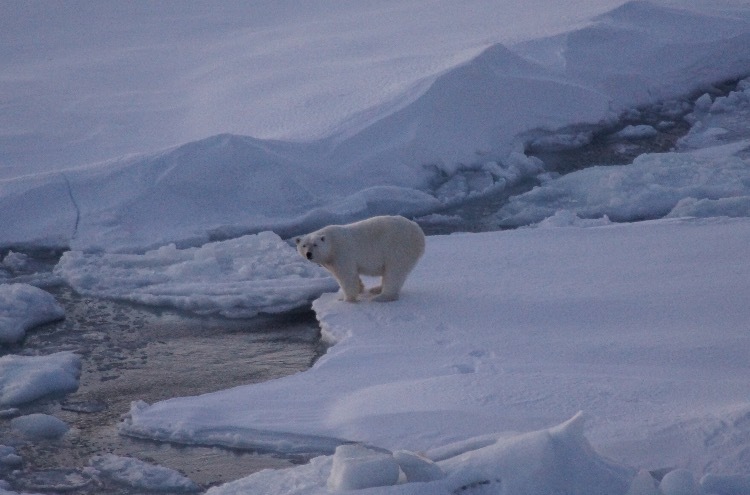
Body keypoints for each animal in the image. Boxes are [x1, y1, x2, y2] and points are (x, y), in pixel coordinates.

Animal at [296, 216, 426, 302]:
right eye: (304, 245)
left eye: (315, 244)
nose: (308, 254)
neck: (331, 244)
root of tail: (418, 231)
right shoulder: (330, 260)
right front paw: (360, 289)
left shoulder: (341, 253)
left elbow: (347, 275)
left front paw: (346, 299)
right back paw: (376, 289)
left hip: (398, 247)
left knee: (394, 272)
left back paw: (381, 297)